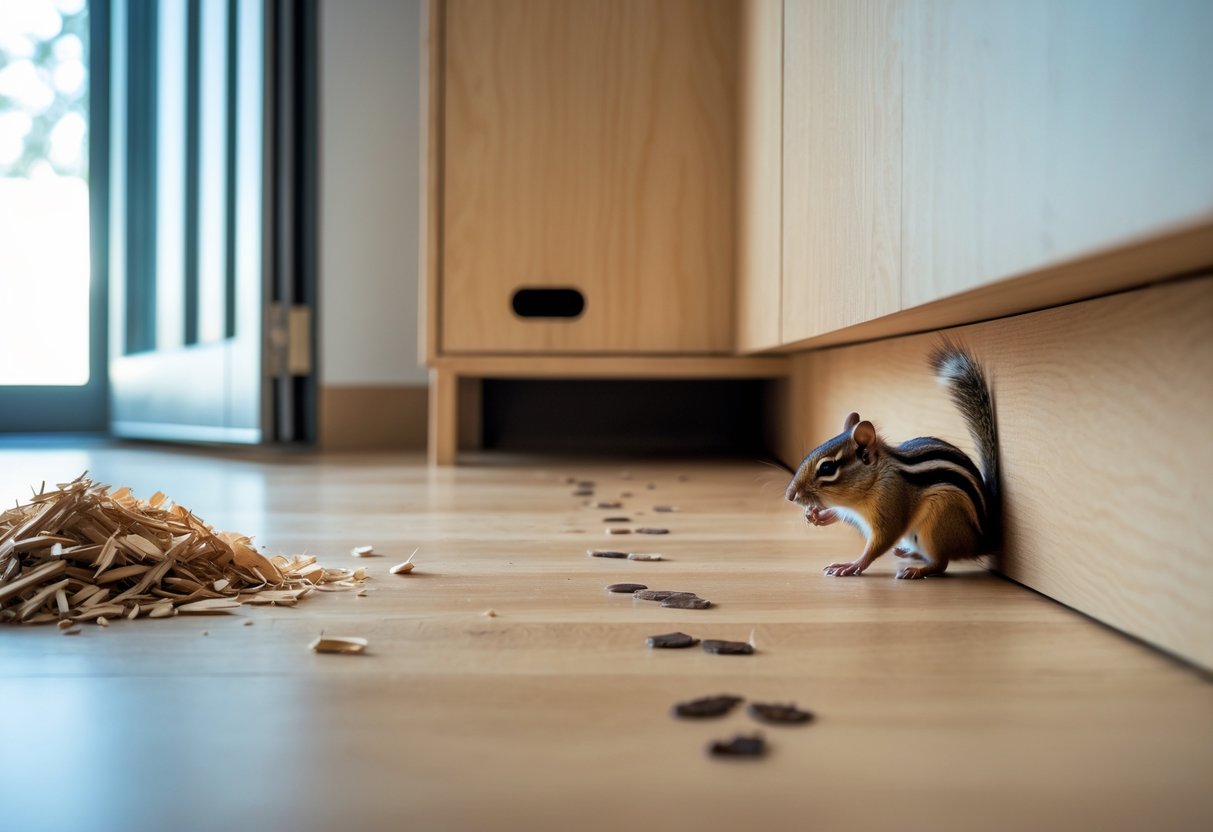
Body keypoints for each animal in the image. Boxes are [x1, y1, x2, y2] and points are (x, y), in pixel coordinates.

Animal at [785, 339, 1001, 579]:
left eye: (827, 468)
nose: (790, 495)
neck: (872, 484)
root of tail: (983, 540)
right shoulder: (851, 511)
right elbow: (839, 513)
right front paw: (816, 515)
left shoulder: (891, 508)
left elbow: (879, 543)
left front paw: (851, 565)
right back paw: (910, 553)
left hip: (936, 526)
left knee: (941, 564)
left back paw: (915, 571)